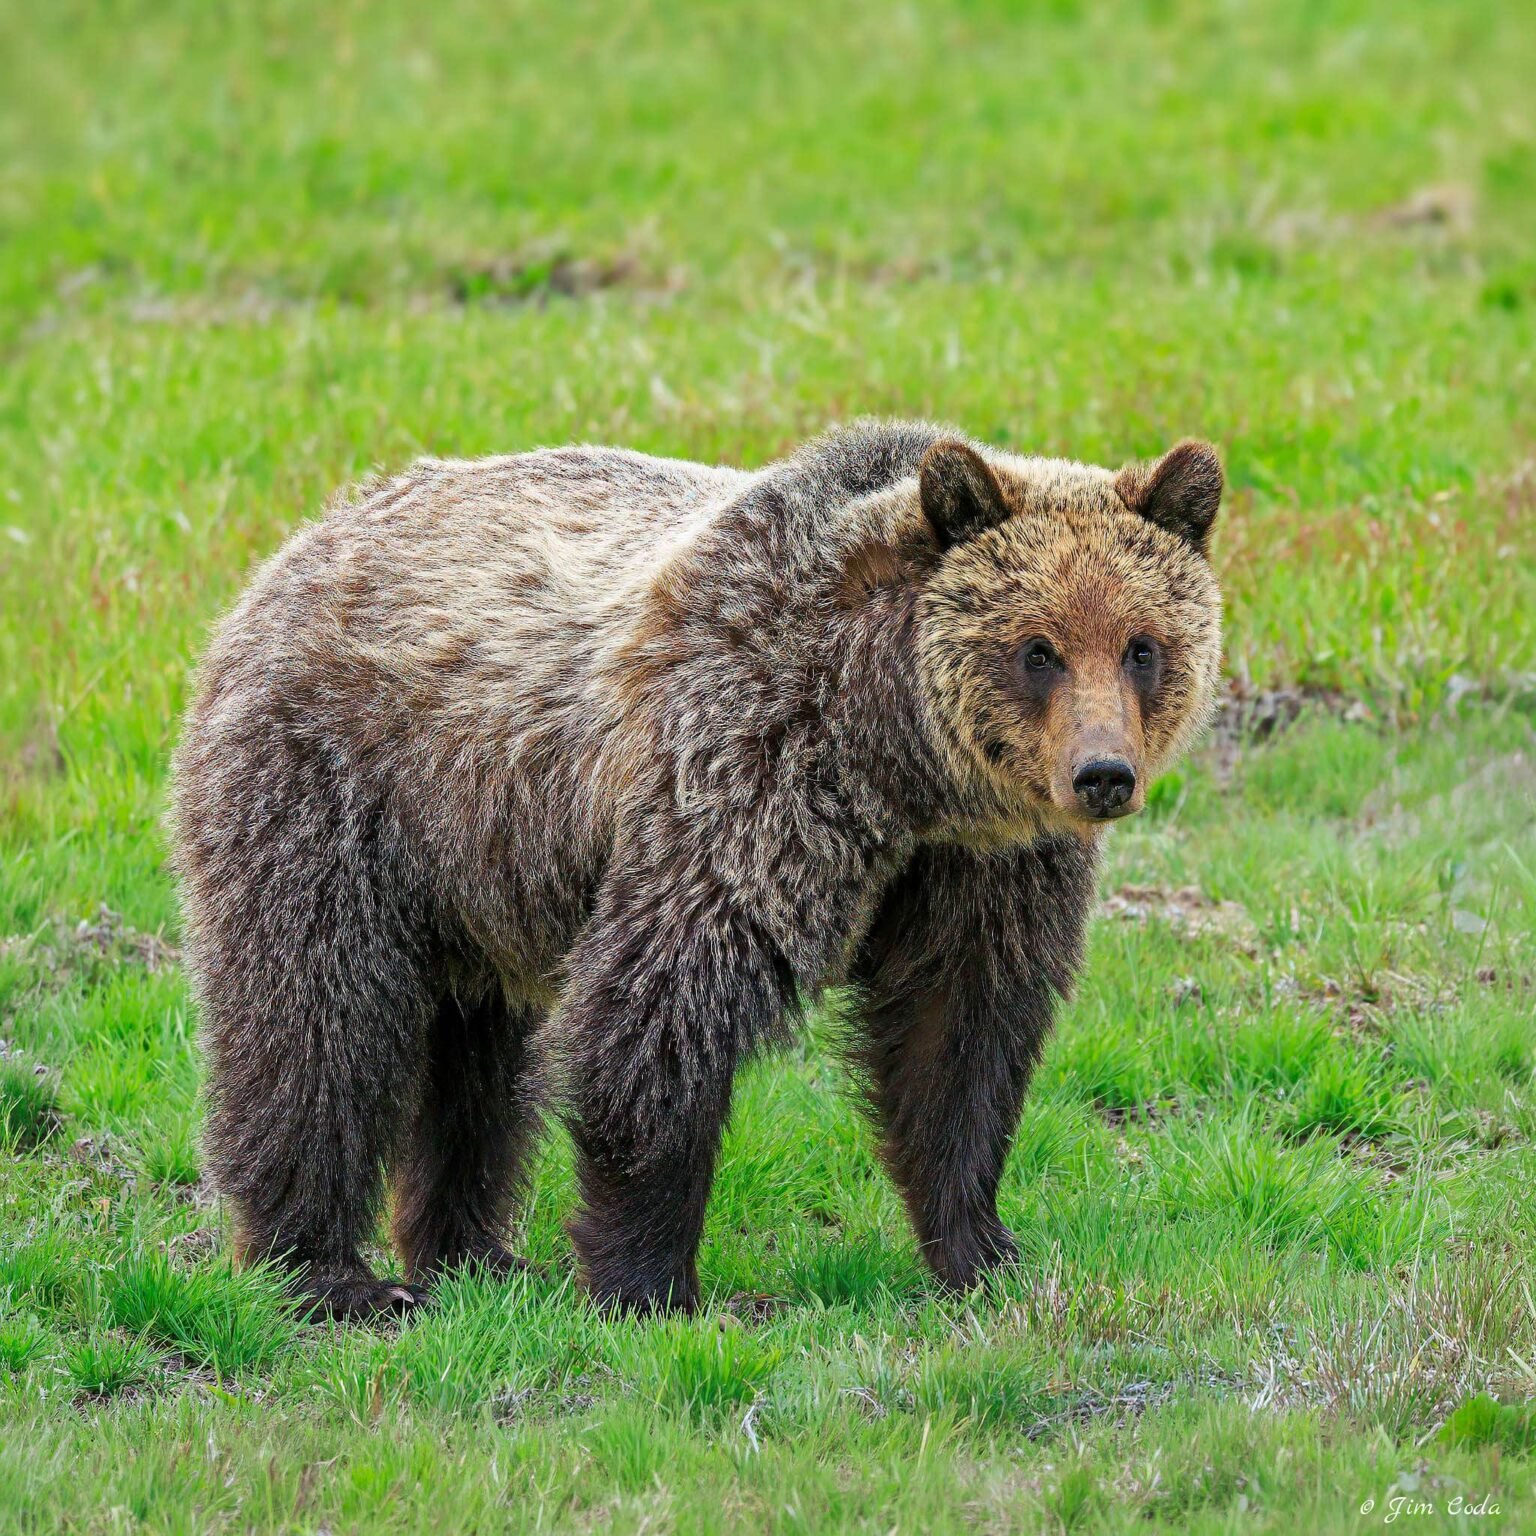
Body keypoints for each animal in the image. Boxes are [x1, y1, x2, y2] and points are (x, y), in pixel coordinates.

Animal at [171, 421, 1223, 1319]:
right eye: (1037, 649)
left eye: (1142, 645)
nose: (1102, 774)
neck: (902, 763)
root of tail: (300, 544)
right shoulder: (747, 765)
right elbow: (664, 1007)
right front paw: (648, 1282)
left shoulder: (981, 865)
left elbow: (959, 1032)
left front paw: (984, 1252)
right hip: (335, 790)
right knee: (316, 1018)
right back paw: (326, 1271)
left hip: (481, 866)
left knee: (474, 1059)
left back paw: (477, 1256)